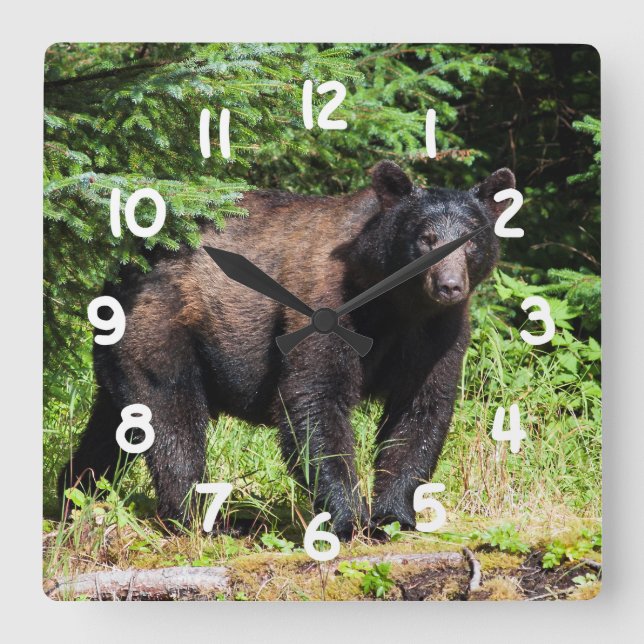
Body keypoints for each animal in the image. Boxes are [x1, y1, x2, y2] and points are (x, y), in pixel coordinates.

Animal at [59, 161, 515, 540]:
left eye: (470, 242)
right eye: (426, 238)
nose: (449, 285)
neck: (394, 303)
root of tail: (123, 268)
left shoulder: (437, 333)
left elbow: (420, 409)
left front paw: (394, 516)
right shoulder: (326, 303)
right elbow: (315, 398)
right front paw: (348, 519)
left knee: (115, 424)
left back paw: (74, 494)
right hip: (162, 326)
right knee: (171, 416)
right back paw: (202, 519)